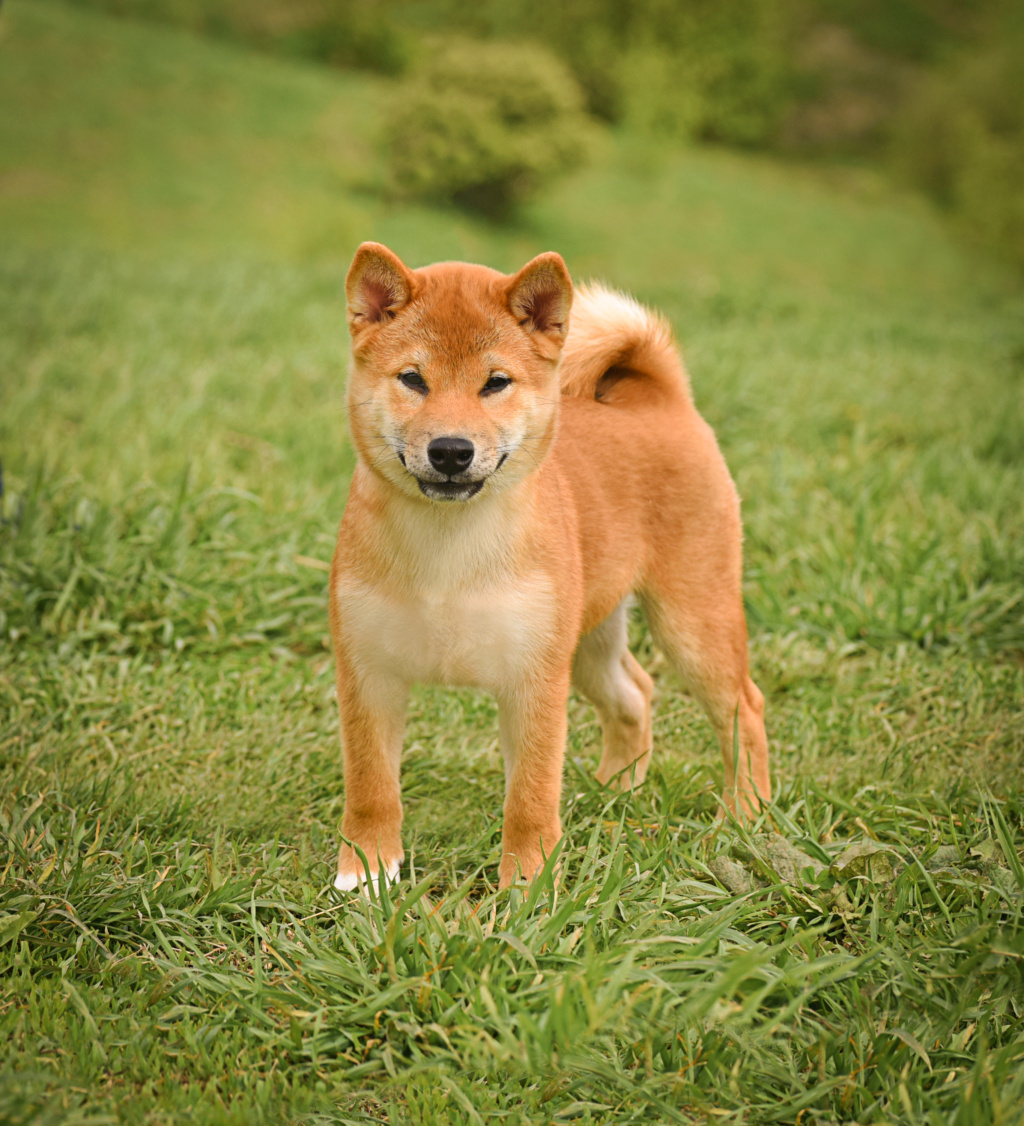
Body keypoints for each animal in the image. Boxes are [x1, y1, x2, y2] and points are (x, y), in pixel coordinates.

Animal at [326, 242, 766, 891]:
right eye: (412, 378)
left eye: (496, 383)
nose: (451, 451)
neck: (449, 550)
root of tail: (660, 398)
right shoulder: (368, 673)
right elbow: (371, 787)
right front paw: (367, 872)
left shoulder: (533, 681)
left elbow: (531, 797)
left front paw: (528, 885)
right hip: (588, 640)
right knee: (634, 693)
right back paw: (612, 794)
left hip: (691, 624)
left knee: (744, 710)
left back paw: (747, 815)